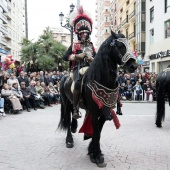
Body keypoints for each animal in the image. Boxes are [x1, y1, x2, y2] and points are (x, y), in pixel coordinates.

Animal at [57, 31, 137, 167]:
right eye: (119, 46)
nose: (133, 66)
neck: (101, 79)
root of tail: (64, 77)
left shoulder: (105, 111)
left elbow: (98, 131)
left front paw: (92, 151)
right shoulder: (94, 111)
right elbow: (96, 132)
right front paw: (98, 155)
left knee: (73, 115)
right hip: (65, 103)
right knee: (67, 119)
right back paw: (69, 140)